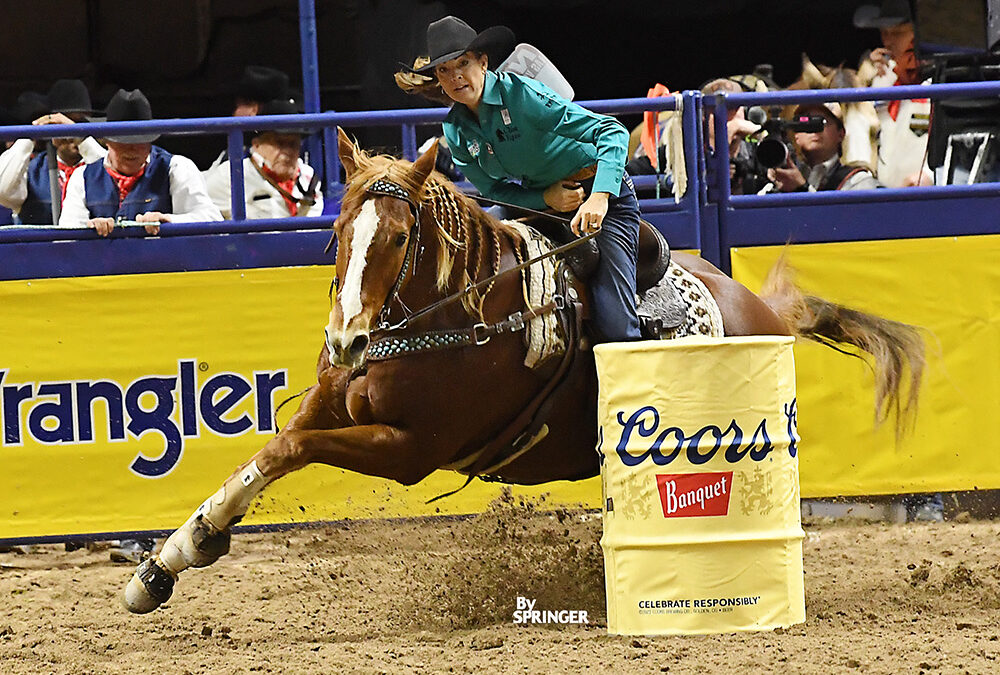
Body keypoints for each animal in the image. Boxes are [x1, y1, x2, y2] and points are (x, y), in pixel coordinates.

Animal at [122, 128, 924, 613]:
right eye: (341, 227)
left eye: (402, 235)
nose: (347, 337)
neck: (452, 313)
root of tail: (761, 308)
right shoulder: (330, 402)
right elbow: (266, 455)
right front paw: (169, 558)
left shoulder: (411, 450)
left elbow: (291, 449)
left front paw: (181, 550)